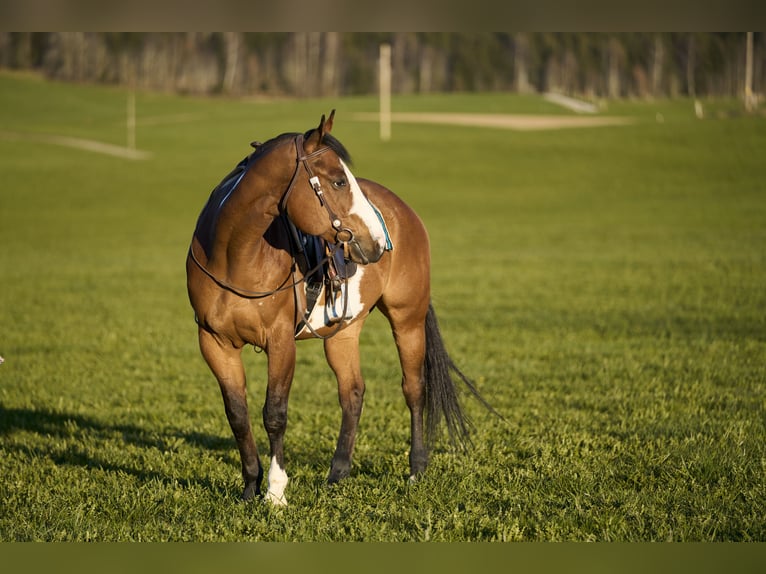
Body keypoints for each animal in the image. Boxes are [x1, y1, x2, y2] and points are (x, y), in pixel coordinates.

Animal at [186, 111, 493, 505]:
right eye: (337, 181)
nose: (376, 242)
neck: (233, 255)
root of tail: (403, 211)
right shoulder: (214, 342)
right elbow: (237, 415)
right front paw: (250, 487)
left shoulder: (280, 342)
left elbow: (275, 413)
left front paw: (276, 491)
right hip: (342, 333)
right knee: (353, 392)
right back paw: (338, 473)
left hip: (407, 320)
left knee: (413, 388)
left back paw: (416, 469)